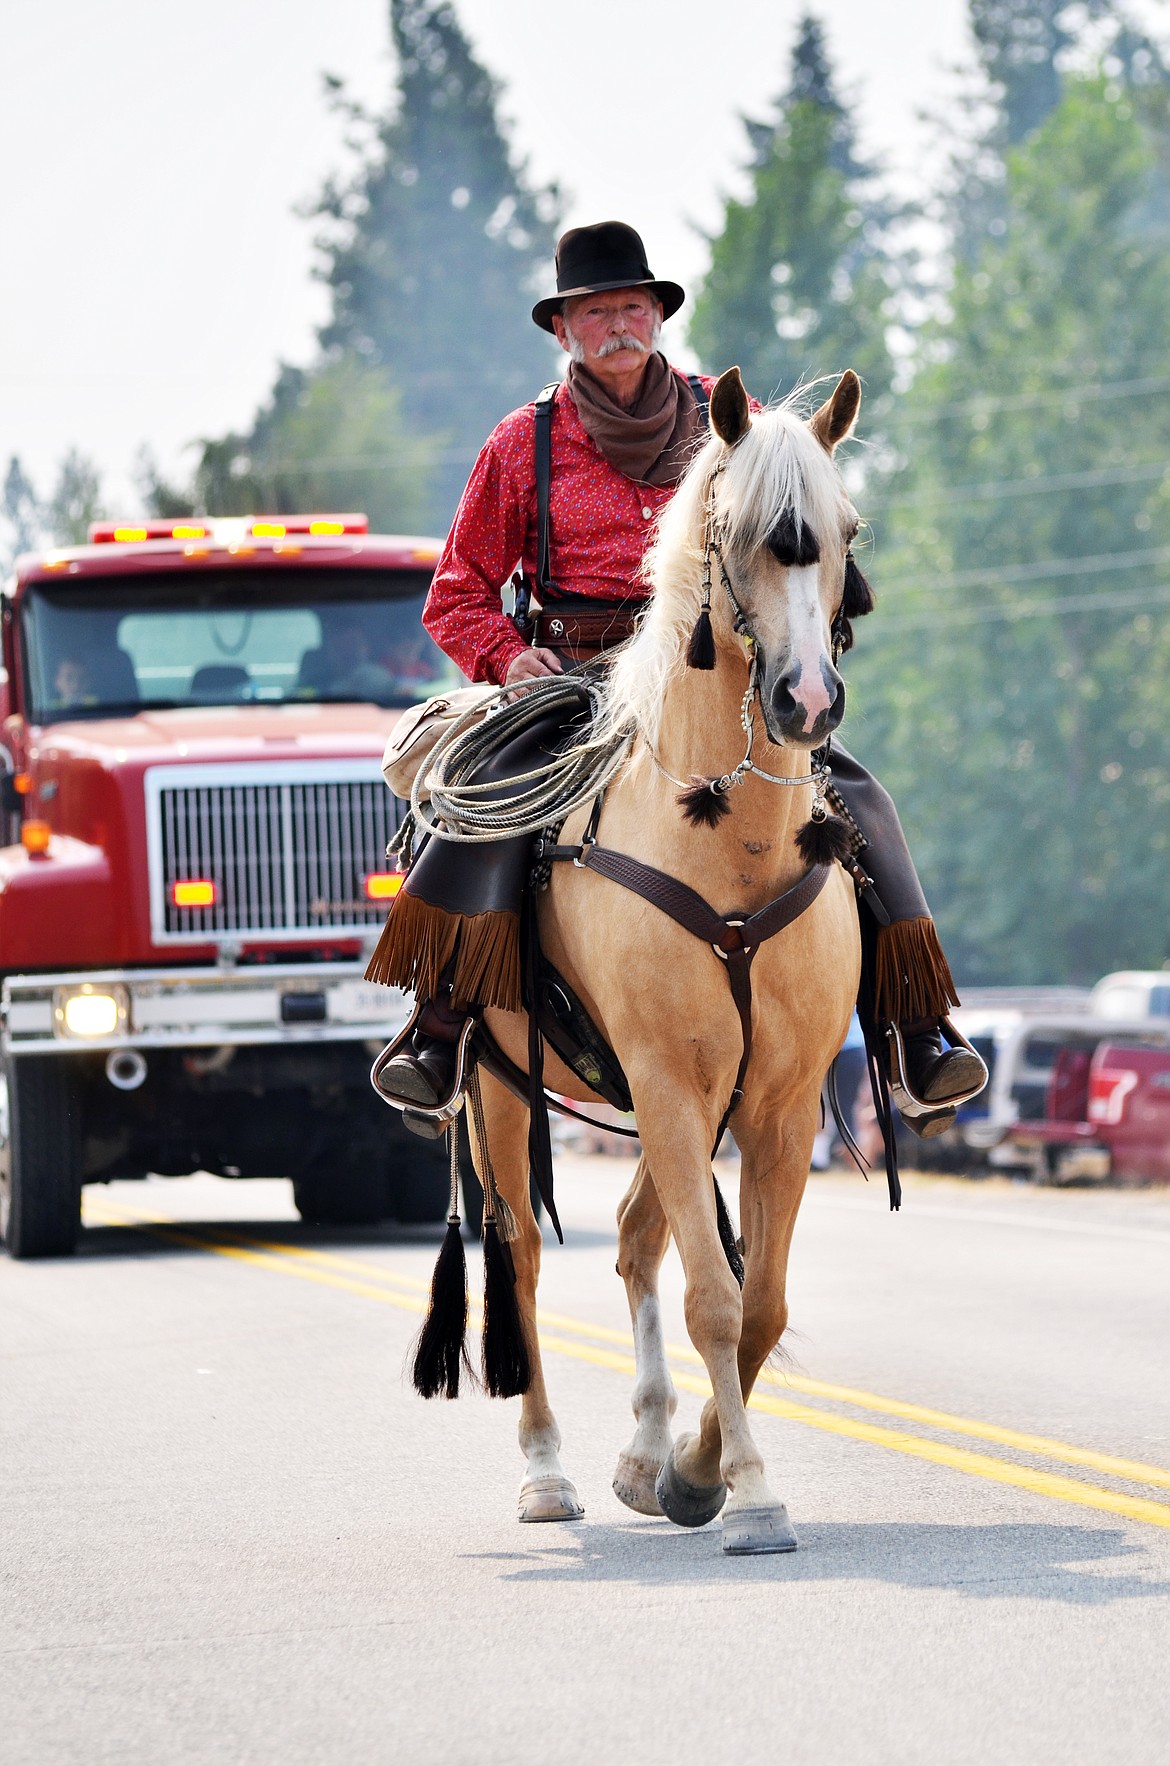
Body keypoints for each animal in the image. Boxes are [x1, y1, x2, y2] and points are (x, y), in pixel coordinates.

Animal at [455, 365, 861, 1554]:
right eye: (741, 537)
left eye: (845, 531)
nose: (807, 699)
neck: (729, 846)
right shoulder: (673, 1081)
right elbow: (715, 1297)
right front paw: (755, 1492)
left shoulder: (773, 1097)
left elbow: (758, 1297)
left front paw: (690, 1469)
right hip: (502, 1086)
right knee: (520, 1253)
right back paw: (547, 1471)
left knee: (639, 1240)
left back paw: (642, 1449)